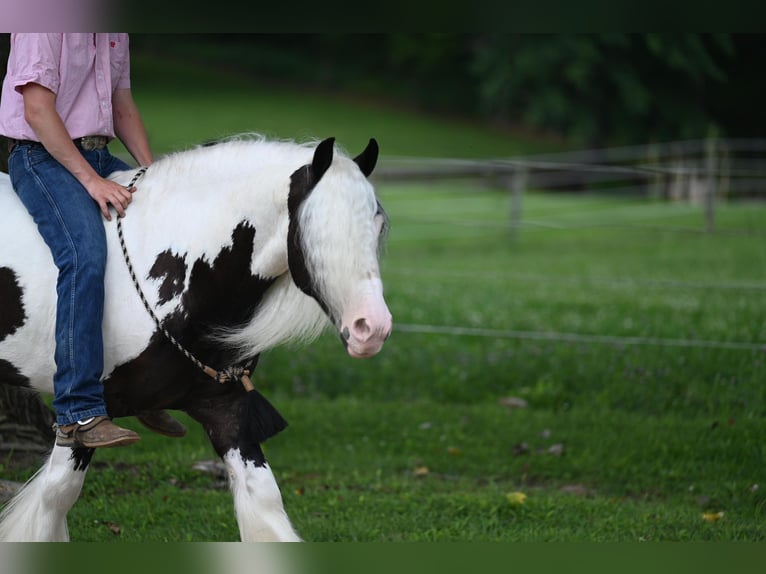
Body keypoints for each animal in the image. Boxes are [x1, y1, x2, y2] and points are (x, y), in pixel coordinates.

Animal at [0, 137, 392, 544]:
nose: (372, 327)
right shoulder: (85, 418)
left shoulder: (226, 412)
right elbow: (56, 495)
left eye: (377, 224)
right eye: (317, 227)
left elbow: (265, 503)